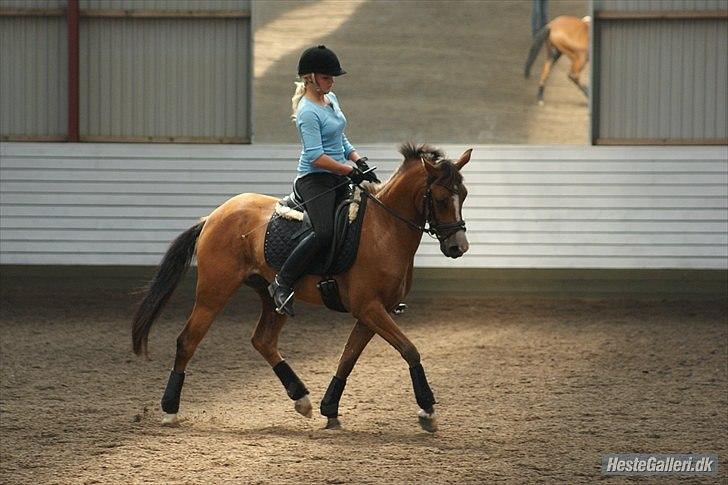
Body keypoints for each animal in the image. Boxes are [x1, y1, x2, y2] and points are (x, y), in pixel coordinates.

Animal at [131, 143, 472, 432]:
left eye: (465, 194)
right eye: (440, 198)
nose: (458, 246)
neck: (384, 230)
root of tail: (213, 216)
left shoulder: (373, 312)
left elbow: (348, 357)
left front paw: (329, 409)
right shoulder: (369, 308)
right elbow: (409, 349)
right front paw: (427, 410)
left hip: (271, 296)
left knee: (263, 340)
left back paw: (301, 398)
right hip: (213, 293)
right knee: (187, 341)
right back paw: (170, 410)